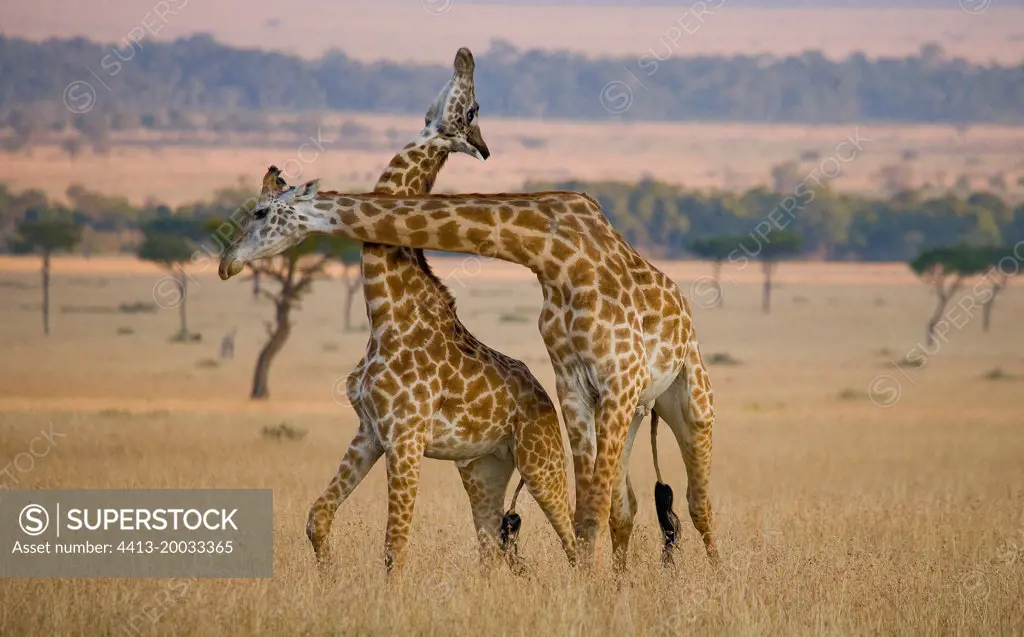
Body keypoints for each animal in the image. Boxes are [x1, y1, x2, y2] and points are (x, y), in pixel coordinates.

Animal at [221, 177, 720, 573]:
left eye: (260, 211)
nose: (228, 262)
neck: (553, 254)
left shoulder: (616, 378)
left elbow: (590, 511)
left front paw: (589, 593)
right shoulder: (575, 387)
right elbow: (588, 511)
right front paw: (592, 591)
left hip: (687, 398)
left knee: (697, 502)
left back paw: (714, 580)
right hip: (634, 411)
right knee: (625, 507)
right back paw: (619, 584)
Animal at [299, 47, 581, 577]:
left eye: (472, 108)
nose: (465, 56)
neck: (384, 311)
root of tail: (544, 399)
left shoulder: (405, 435)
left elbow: (395, 546)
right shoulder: (371, 430)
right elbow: (318, 517)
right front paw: (326, 579)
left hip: (540, 459)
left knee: (572, 538)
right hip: (483, 466)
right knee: (492, 549)